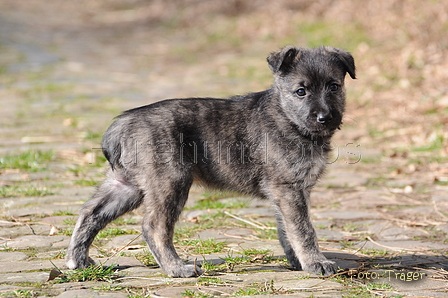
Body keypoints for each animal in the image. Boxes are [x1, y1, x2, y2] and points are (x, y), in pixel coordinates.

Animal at [66, 46, 356, 278]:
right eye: (300, 91)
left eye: (333, 86)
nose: (324, 118)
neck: (287, 117)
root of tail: (123, 123)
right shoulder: (289, 188)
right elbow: (304, 229)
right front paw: (316, 262)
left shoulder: (286, 192)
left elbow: (287, 229)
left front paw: (297, 260)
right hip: (171, 182)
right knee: (154, 226)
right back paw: (177, 269)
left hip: (126, 185)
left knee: (90, 213)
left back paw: (78, 260)